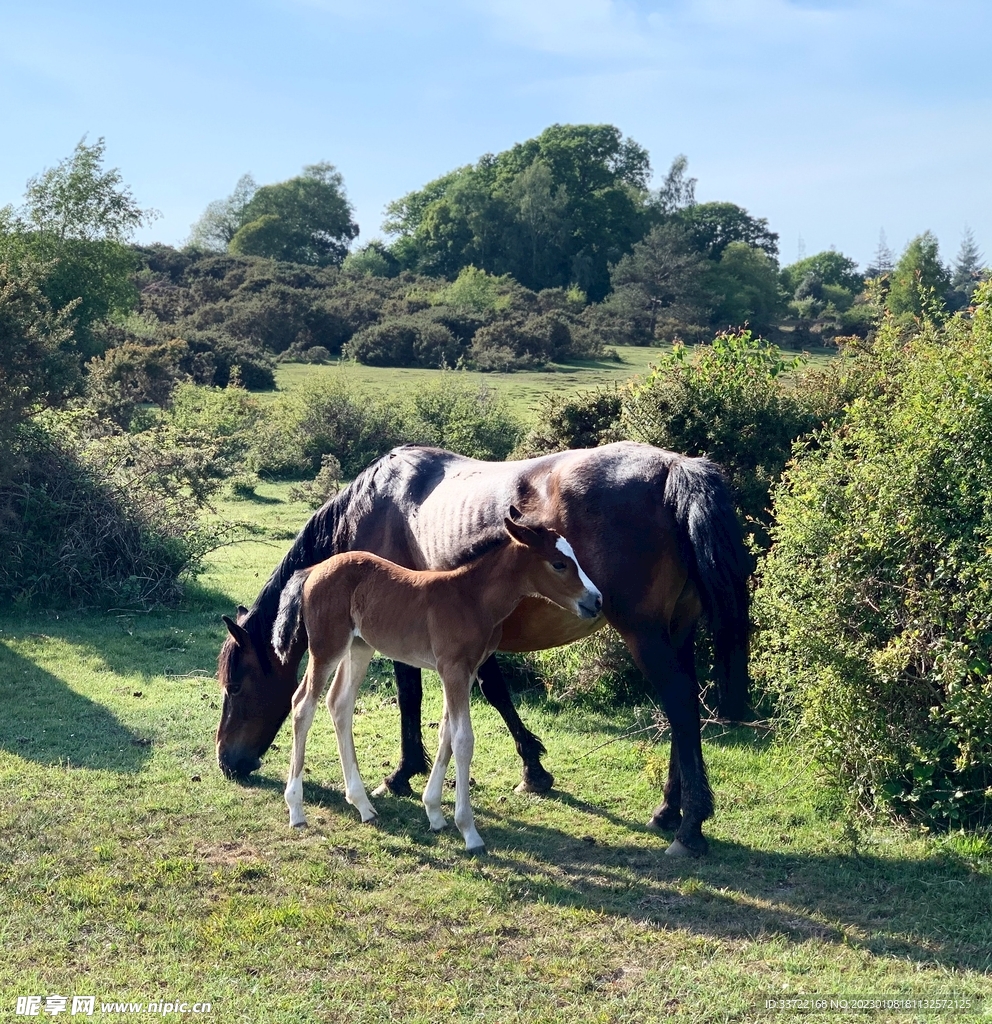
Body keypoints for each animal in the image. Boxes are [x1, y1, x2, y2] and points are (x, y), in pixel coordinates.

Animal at [269, 514, 602, 853]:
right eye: (559, 564)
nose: (596, 600)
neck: (472, 598)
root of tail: (312, 570)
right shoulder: (453, 669)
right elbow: (463, 740)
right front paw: (469, 831)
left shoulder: (463, 672)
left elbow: (446, 733)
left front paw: (435, 813)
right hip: (327, 647)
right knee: (303, 704)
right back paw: (296, 810)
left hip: (359, 647)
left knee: (339, 703)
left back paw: (363, 805)